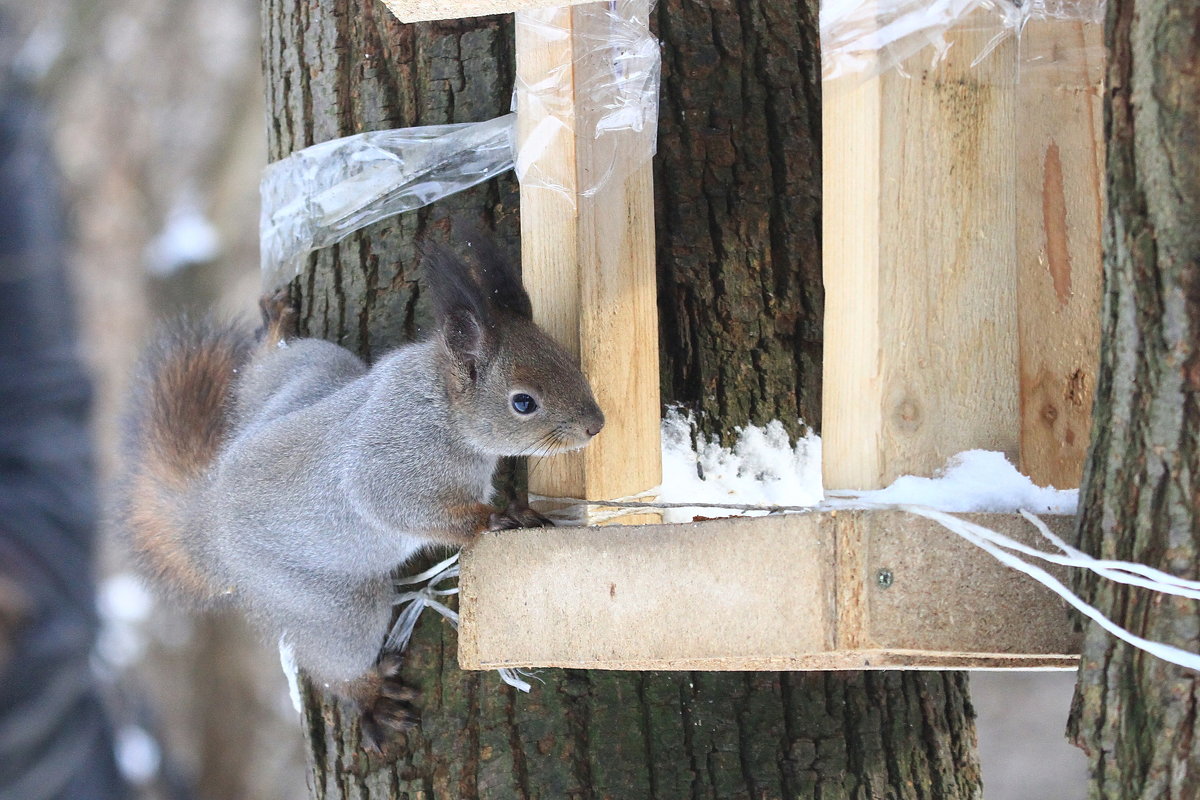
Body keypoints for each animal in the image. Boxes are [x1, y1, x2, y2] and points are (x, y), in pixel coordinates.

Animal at [115, 242, 604, 753]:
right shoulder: (391, 466)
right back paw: (369, 695)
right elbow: (400, 507)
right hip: (329, 603)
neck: (439, 404)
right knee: (335, 661)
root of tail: (205, 522)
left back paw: (274, 332)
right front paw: (499, 518)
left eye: (567, 359)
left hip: (312, 372)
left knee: (270, 372)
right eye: (523, 402)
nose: (596, 424)